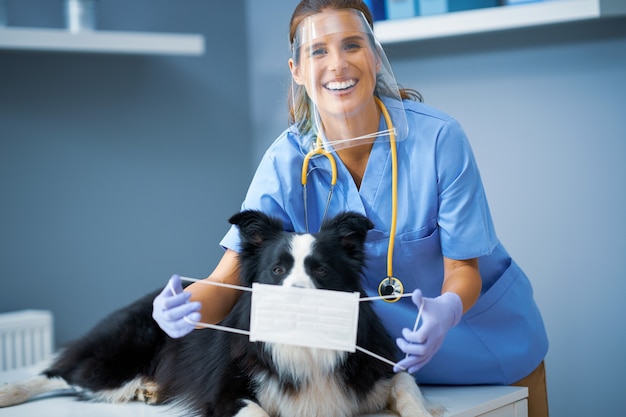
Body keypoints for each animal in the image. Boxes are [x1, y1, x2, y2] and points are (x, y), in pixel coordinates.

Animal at [0, 211, 436, 416]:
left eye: (322, 270)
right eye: (277, 270)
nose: (294, 301)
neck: (303, 344)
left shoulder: (373, 371)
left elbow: (407, 386)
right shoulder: (225, 392)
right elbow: (253, 409)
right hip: (117, 358)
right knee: (59, 372)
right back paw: (10, 392)